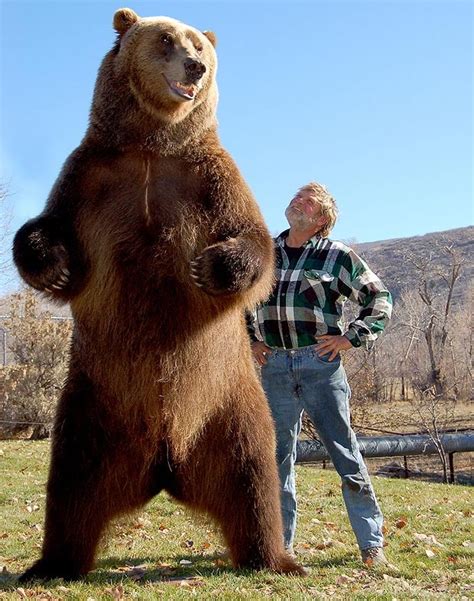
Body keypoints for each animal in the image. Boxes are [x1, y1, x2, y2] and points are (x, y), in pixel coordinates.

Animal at [14, 9, 306, 580]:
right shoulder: (92, 176)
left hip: (228, 404)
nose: (195, 67)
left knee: (254, 478)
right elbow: (52, 227)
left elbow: (253, 240)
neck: (153, 144)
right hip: (93, 407)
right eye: (166, 39)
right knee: (71, 488)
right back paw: (51, 563)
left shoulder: (209, 177)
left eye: (200, 45)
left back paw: (275, 559)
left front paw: (210, 266)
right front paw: (53, 267)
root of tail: (165, 464)